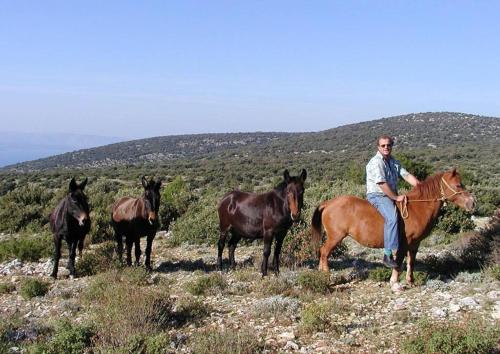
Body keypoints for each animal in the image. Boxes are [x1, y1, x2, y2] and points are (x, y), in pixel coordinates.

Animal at [312, 170, 476, 290]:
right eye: (458, 185)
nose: (472, 203)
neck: (417, 208)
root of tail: (328, 203)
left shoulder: (415, 244)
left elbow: (411, 262)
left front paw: (410, 281)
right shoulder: (404, 243)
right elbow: (398, 262)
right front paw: (395, 283)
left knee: (322, 253)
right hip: (335, 237)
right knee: (324, 252)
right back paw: (326, 276)